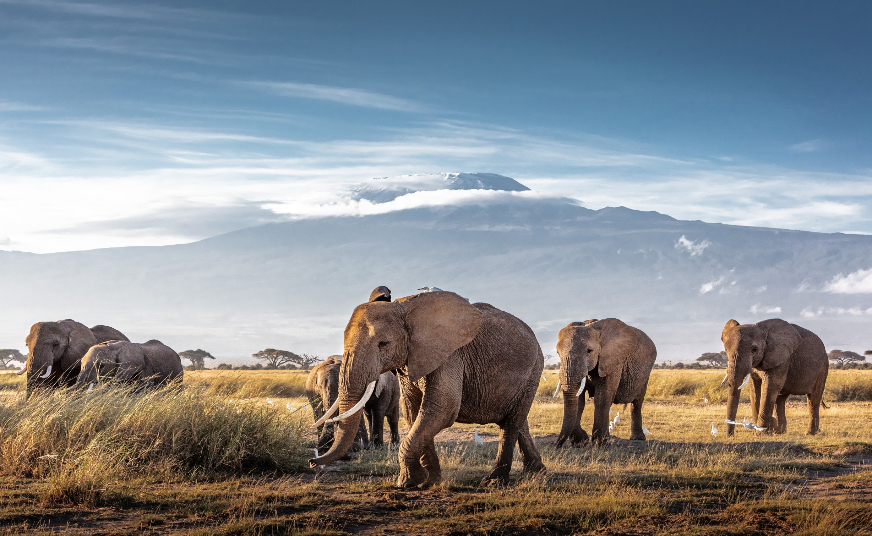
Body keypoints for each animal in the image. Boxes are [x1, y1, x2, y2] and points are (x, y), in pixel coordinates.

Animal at [308, 292, 544, 488]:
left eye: (383, 344)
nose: (311, 461)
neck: (403, 308)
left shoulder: (450, 356)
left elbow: (442, 409)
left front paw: (408, 483)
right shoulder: (410, 360)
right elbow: (414, 411)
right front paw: (431, 481)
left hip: (534, 369)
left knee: (511, 423)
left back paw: (495, 482)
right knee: (517, 420)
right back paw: (536, 472)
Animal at [556, 318, 656, 448]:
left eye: (589, 351)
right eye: (558, 353)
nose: (556, 446)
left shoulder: (614, 361)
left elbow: (602, 398)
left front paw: (601, 443)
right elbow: (579, 400)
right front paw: (581, 442)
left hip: (646, 374)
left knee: (637, 403)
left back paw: (638, 439)